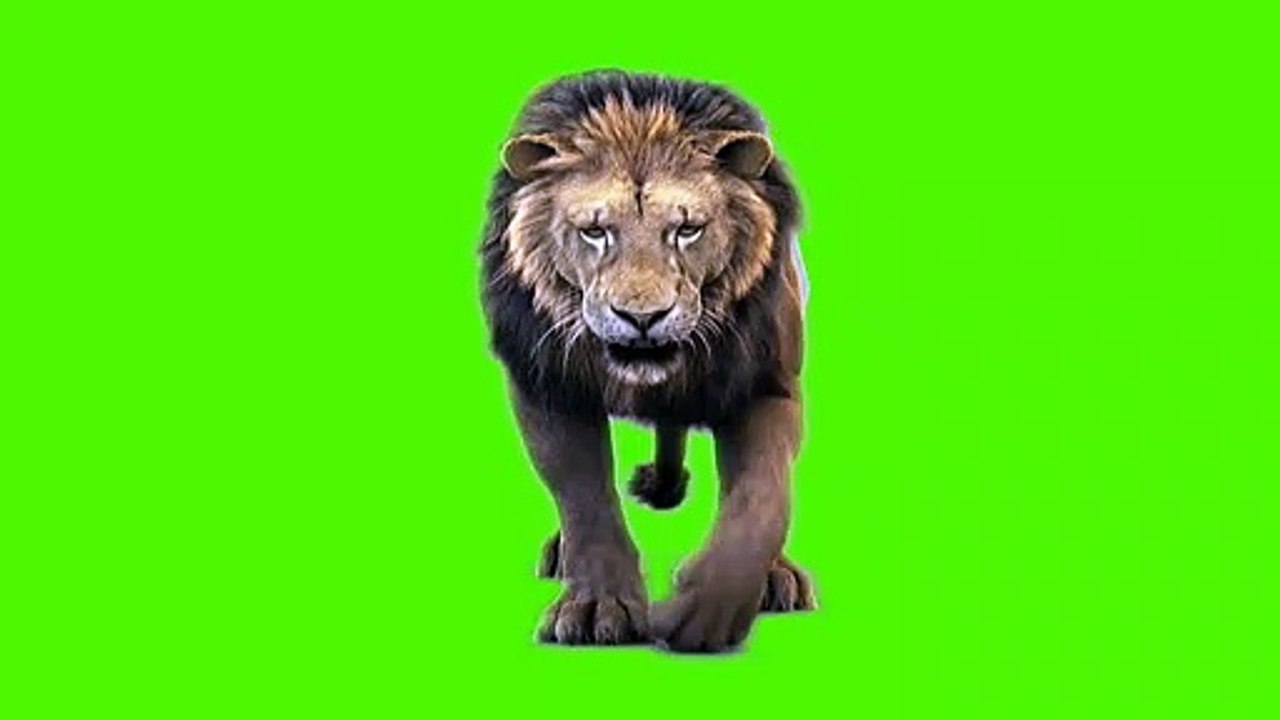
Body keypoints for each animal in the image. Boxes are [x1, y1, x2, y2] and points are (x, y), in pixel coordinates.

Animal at [480, 70, 814, 653]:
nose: (642, 317)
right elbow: (584, 494)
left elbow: (761, 495)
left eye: (687, 229)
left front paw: (709, 606)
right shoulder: (546, 383)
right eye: (595, 231)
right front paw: (596, 607)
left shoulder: (765, 381)